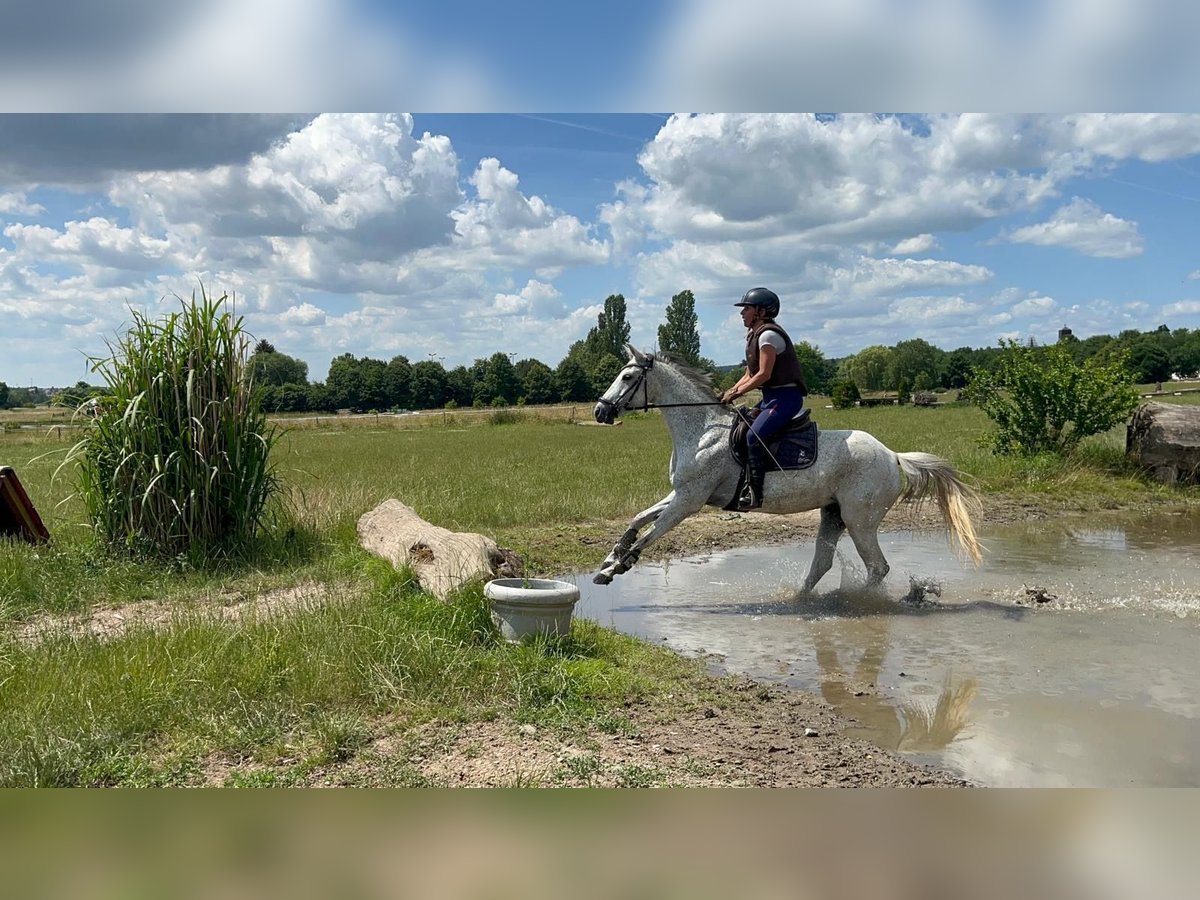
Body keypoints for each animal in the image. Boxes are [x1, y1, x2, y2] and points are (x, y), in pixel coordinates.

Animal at [592, 348, 984, 595]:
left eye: (627, 376)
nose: (600, 411)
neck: (701, 429)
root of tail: (892, 455)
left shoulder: (690, 500)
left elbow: (650, 535)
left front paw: (617, 567)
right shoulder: (680, 493)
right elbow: (637, 519)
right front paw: (610, 559)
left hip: (860, 519)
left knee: (877, 567)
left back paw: (855, 600)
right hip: (833, 514)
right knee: (823, 563)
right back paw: (800, 597)